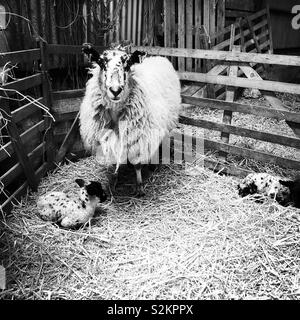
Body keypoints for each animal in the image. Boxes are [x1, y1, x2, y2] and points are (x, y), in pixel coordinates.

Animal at [79, 42, 180, 195]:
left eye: (128, 64)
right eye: (102, 63)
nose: (115, 90)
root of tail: (159, 57)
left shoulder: (140, 136)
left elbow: (137, 164)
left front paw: (139, 186)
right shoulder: (108, 138)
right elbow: (114, 160)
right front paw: (114, 181)